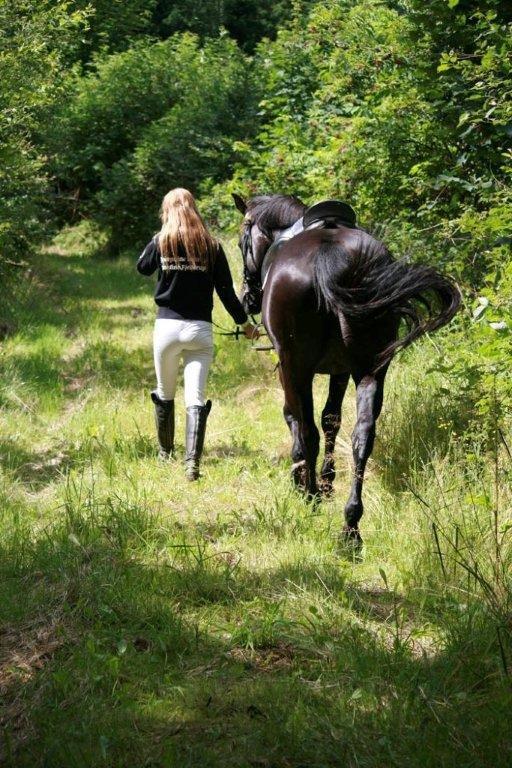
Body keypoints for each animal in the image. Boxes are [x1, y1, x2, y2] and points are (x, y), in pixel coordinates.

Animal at [232, 194, 460, 540]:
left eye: (243, 240)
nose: (247, 298)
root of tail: (332, 255)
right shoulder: (339, 370)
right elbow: (332, 419)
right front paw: (327, 482)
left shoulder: (288, 367)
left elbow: (296, 417)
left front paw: (303, 479)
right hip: (371, 367)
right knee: (362, 435)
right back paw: (351, 525)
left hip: (298, 366)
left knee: (309, 430)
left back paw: (311, 496)